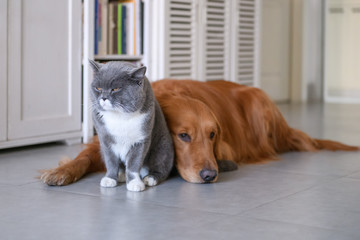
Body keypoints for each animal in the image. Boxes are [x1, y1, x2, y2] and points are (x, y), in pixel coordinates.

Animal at [40, 79, 358, 185]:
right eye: (183, 136)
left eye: (212, 135)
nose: (209, 175)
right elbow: (84, 156)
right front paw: (61, 171)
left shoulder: (224, 147)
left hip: (258, 101)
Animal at [89, 60, 174, 191]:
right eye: (98, 88)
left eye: (116, 88)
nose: (103, 97)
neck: (119, 116)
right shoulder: (105, 140)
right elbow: (111, 161)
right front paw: (109, 179)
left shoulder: (141, 140)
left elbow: (134, 163)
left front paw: (135, 183)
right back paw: (121, 175)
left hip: (162, 147)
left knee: (162, 167)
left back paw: (150, 178)